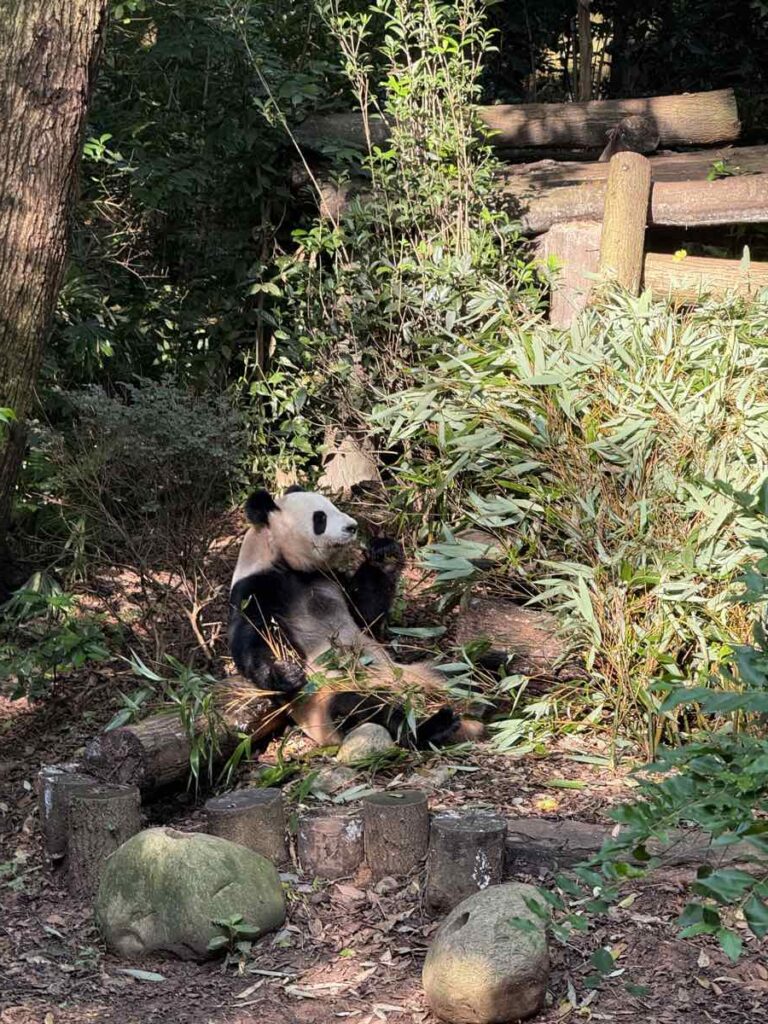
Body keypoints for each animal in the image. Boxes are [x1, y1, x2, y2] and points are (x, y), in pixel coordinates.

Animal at [228, 486, 482, 749]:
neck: (288, 566)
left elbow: (365, 615)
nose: (352, 527)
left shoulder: (330, 579)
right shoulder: (256, 590)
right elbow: (253, 639)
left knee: (462, 669)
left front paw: (383, 552)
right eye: (320, 518)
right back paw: (434, 727)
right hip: (329, 699)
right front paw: (284, 672)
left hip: (423, 670)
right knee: (363, 708)